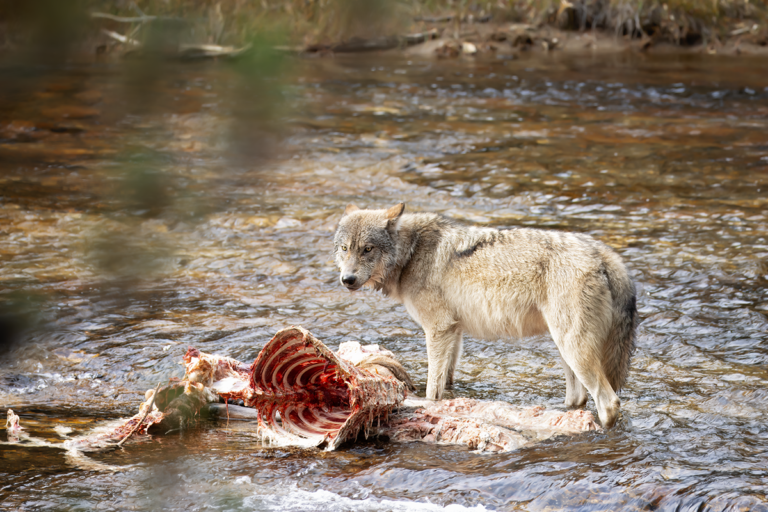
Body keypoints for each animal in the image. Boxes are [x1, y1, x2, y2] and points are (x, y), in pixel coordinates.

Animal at [333, 203, 637, 428]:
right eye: (345, 248)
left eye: (367, 249)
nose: (347, 280)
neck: (411, 252)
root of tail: (603, 254)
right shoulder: (453, 331)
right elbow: (447, 380)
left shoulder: (438, 329)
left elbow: (432, 388)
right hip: (565, 349)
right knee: (578, 399)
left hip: (573, 348)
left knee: (608, 402)